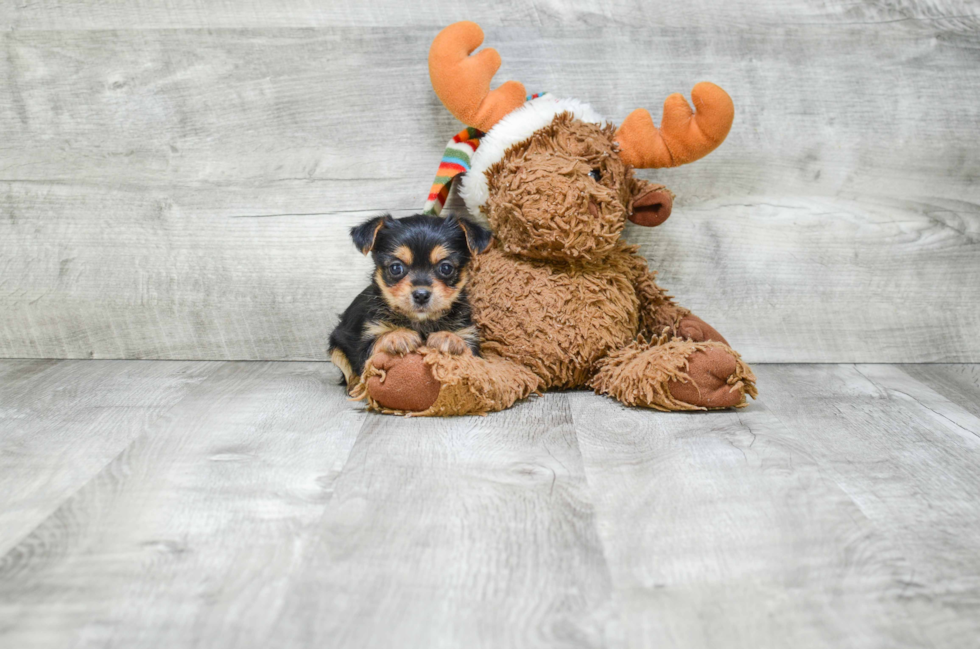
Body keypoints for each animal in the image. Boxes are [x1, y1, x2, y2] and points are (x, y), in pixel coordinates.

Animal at [330, 215, 494, 392]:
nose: (421, 295)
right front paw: (398, 335)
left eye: (446, 268)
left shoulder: (469, 337)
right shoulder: (367, 341)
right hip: (336, 343)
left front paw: (448, 337)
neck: (421, 322)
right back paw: (355, 386)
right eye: (396, 268)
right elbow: (377, 344)